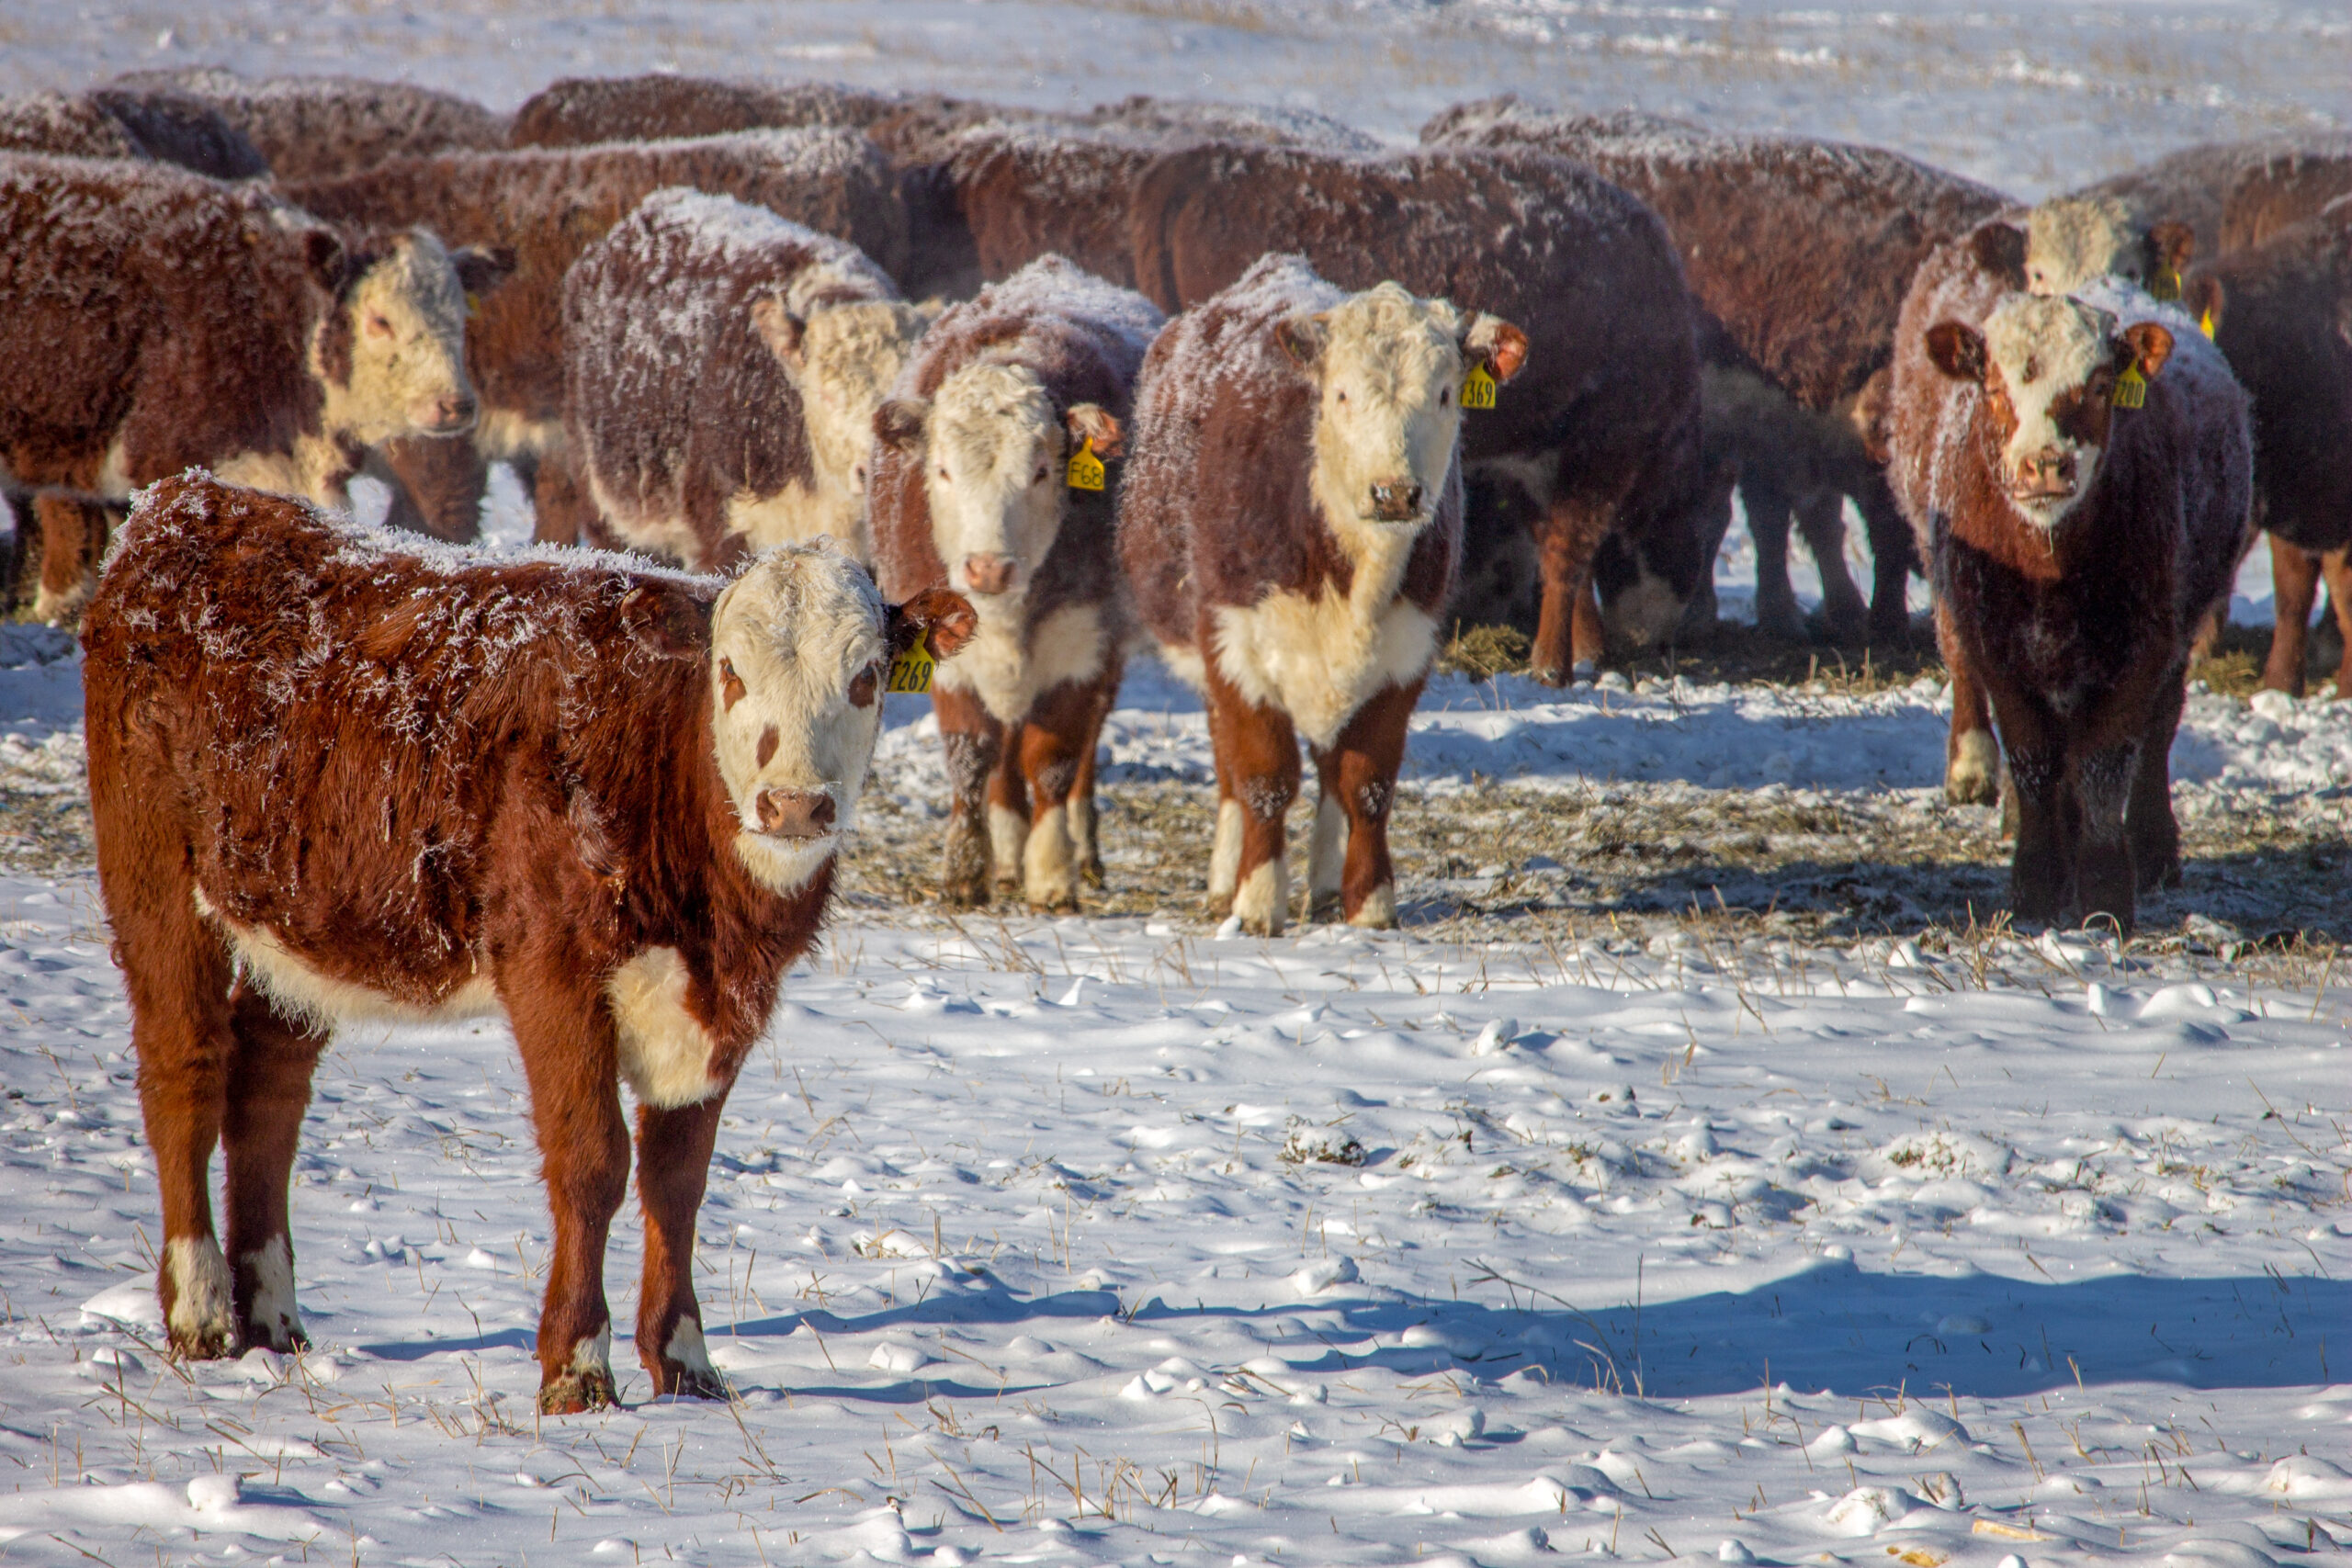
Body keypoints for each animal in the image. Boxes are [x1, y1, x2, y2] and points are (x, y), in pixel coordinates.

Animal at [82, 471, 975, 1412]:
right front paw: (578, 1365)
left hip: (303, 916)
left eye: (868, 677)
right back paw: (200, 1311)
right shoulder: (554, 969)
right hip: (153, 872)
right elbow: (593, 1162)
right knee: (184, 1063)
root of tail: (187, 501)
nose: (795, 803)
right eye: (731, 673)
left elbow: (679, 1178)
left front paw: (685, 1360)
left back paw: (273, 1319)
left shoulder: (718, 1003)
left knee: (268, 1088)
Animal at [870, 255, 1162, 911]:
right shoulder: (945, 655)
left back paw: (1083, 851)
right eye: (942, 470)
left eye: (1042, 471)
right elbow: (971, 755)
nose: (988, 567)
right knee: (1003, 754)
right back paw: (1005, 856)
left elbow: (1054, 757)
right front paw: (964, 870)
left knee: (1081, 750)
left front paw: (1052, 872)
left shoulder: (1080, 644)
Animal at [1118, 254, 1526, 933]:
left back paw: (1328, 884)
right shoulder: (1235, 644)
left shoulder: (1406, 651)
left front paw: (1370, 901)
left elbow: (1367, 782)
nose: (1395, 492)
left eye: (1445, 393)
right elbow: (1264, 778)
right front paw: (1258, 900)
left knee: (1333, 766)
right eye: (1341, 394)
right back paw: (1226, 878)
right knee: (1230, 765)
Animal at [1127, 142, 1702, 685]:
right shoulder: (1606, 445)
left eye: (1446, 394)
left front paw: (1581, 650)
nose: (1666, 628)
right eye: (1693, 507)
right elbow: (1568, 554)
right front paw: (1553, 666)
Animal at [1886, 277, 2252, 931]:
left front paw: (2105, 894)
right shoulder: (1997, 647)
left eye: (2101, 387)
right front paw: (2036, 885)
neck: (2048, 568)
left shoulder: (2141, 647)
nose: (2045, 463)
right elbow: (2034, 760)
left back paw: (2154, 851)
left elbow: (2105, 762)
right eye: (1994, 387)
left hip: (2181, 629)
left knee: (2156, 734)